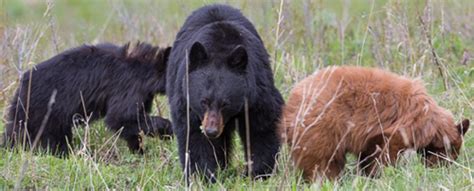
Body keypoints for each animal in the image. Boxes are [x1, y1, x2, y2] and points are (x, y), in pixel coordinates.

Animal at [3, 41, 174, 155]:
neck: (145, 68)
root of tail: (20, 88)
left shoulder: (143, 94)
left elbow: (131, 123)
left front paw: (139, 151)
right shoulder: (128, 86)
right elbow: (120, 117)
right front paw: (169, 130)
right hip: (45, 111)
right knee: (51, 137)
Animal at [167, 4, 284, 181]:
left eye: (225, 104)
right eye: (204, 101)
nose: (211, 131)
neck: (219, 47)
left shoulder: (257, 93)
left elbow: (261, 127)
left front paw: (258, 172)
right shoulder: (186, 100)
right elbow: (194, 136)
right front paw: (203, 175)